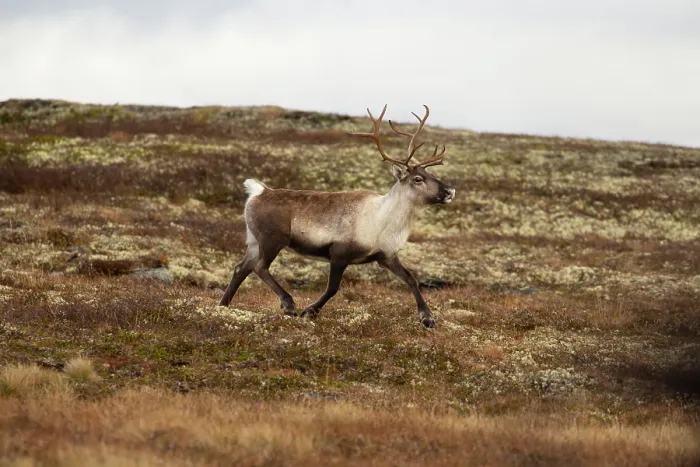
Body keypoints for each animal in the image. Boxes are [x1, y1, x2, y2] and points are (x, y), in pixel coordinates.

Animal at [218, 104, 455, 328]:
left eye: (432, 174)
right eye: (417, 179)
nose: (450, 191)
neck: (385, 221)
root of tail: (258, 191)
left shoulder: (386, 256)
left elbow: (411, 278)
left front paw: (428, 318)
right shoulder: (339, 252)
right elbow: (332, 288)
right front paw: (309, 311)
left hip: (254, 240)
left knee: (241, 268)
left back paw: (223, 305)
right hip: (273, 239)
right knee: (260, 267)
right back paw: (288, 304)